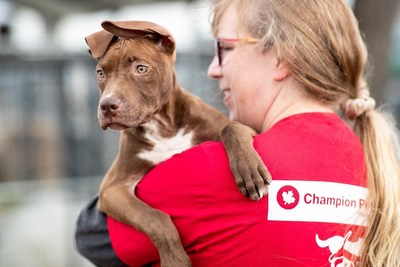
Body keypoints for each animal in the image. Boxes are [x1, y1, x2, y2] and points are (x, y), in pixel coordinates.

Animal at [85, 21, 270, 267]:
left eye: (141, 69)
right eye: (100, 73)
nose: (107, 106)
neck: (164, 127)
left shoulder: (242, 127)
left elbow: (232, 128)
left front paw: (249, 170)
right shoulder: (112, 187)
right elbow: (153, 217)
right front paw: (174, 259)